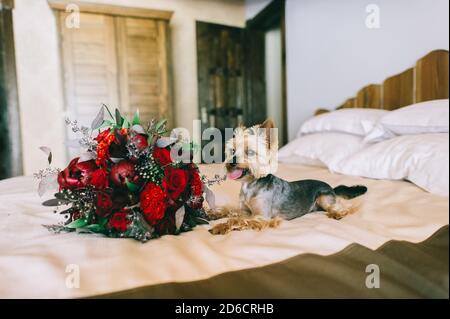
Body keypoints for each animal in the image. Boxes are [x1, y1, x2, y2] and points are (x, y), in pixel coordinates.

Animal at [209, 119, 368, 235]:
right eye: (232, 151)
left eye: (250, 152)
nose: (231, 162)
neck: (250, 184)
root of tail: (331, 187)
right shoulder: (244, 210)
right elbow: (231, 210)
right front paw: (214, 214)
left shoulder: (261, 217)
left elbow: (238, 221)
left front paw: (220, 227)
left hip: (323, 198)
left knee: (340, 207)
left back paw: (337, 213)